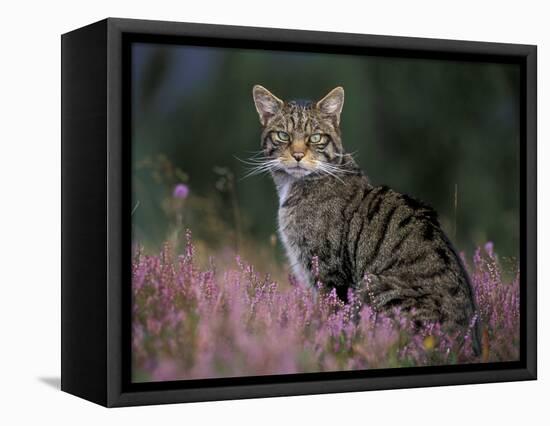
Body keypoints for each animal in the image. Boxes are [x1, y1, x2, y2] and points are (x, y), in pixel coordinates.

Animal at [252, 83, 480, 352]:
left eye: (315, 138)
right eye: (283, 136)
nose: (297, 155)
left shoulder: (329, 275)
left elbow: (330, 318)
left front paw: (324, 344)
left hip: (373, 286)